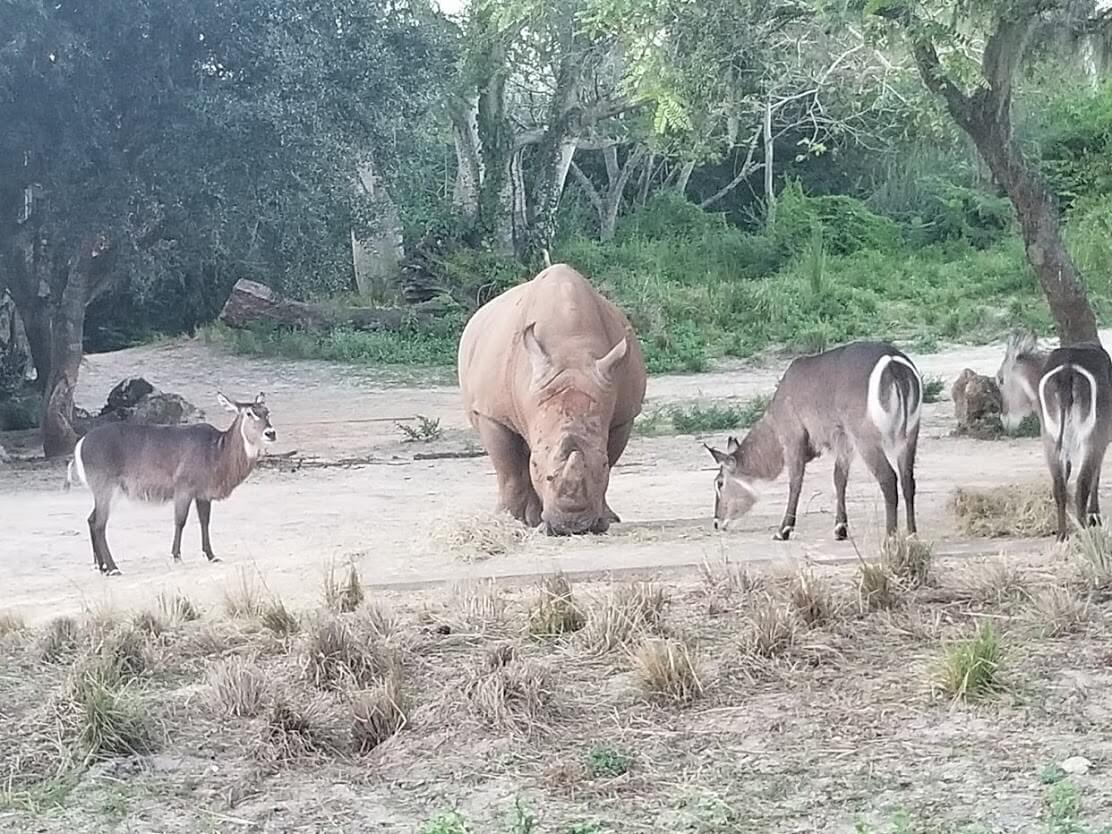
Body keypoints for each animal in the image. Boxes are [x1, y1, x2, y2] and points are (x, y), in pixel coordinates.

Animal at [66, 391, 276, 573]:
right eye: (249, 413)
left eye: (267, 411)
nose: (271, 433)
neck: (217, 452)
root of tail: (79, 444)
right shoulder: (184, 487)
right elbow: (180, 521)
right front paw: (176, 556)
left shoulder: (203, 493)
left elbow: (205, 521)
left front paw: (211, 555)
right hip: (106, 488)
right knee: (100, 524)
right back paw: (113, 568)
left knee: (91, 520)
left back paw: (101, 566)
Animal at [707, 340, 925, 542]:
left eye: (719, 483)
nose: (716, 522)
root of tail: (893, 363)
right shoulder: (842, 441)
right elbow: (839, 479)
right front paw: (840, 528)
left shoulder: (792, 438)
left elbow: (795, 481)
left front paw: (783, 530)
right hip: (910, 436)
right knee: (908, 480)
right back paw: (912, 534)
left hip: (868, 440)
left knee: (888, 479)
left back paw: (890, 537)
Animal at [1000, 335, 1112, 542]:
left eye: (1000, 379)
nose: (1005, 419)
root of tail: (1067, 370)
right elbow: (1093, 475)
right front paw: (1093, 515)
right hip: (1090, 437)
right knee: (1082, 484)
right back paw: (1082, 530)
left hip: (1051, 440)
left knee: (1061, 486)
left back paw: (1063, 534)